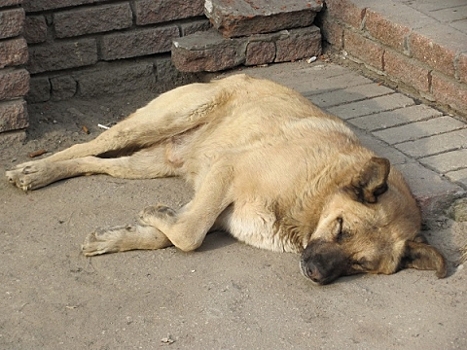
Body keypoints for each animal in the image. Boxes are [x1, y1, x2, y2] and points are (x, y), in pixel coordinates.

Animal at [5, 74, 448, 284]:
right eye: (340, 229)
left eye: (360, 264)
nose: (314, 273)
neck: (313, 200)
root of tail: (237, 76)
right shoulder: (226, 172)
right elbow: (188, 235)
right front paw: (152, 216)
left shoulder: (219, 209)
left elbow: (172, 233)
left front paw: (121, 235)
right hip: (157, 122)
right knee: (88, 145)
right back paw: (34, 170)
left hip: (149, 161)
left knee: (97, 162)